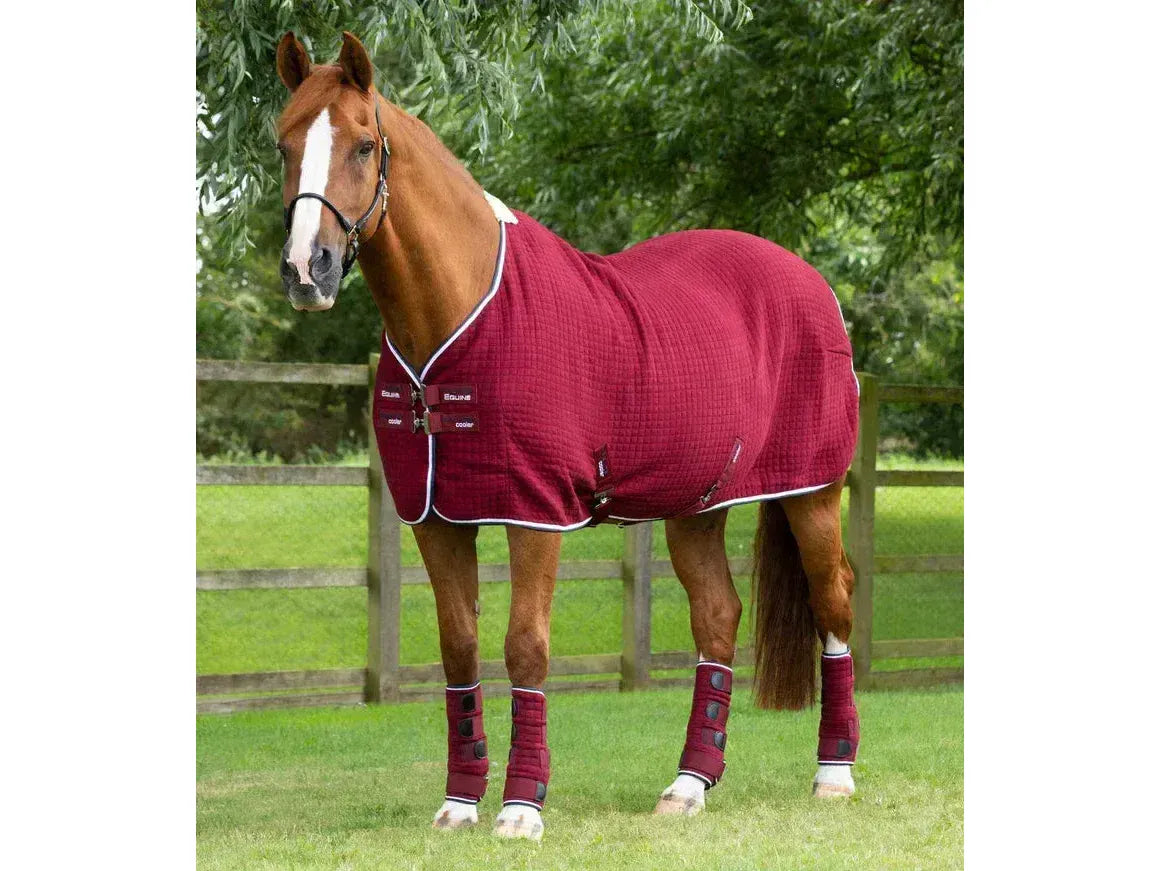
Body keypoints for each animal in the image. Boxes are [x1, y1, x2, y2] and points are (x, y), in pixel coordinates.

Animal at [273, 31, 862, 842]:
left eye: (363, 144)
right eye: (283, 144)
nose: (308, 270)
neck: (460, 314)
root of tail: (812, 283)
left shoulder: (535, 511)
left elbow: (525, 647)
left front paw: (522, 808)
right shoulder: (434, 519)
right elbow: (459, 647)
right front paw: (460, 802)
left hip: (812, 492)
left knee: (834, 603)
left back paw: (834, 775)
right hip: (696, 506)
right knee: (717, 618)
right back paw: (688, 786)